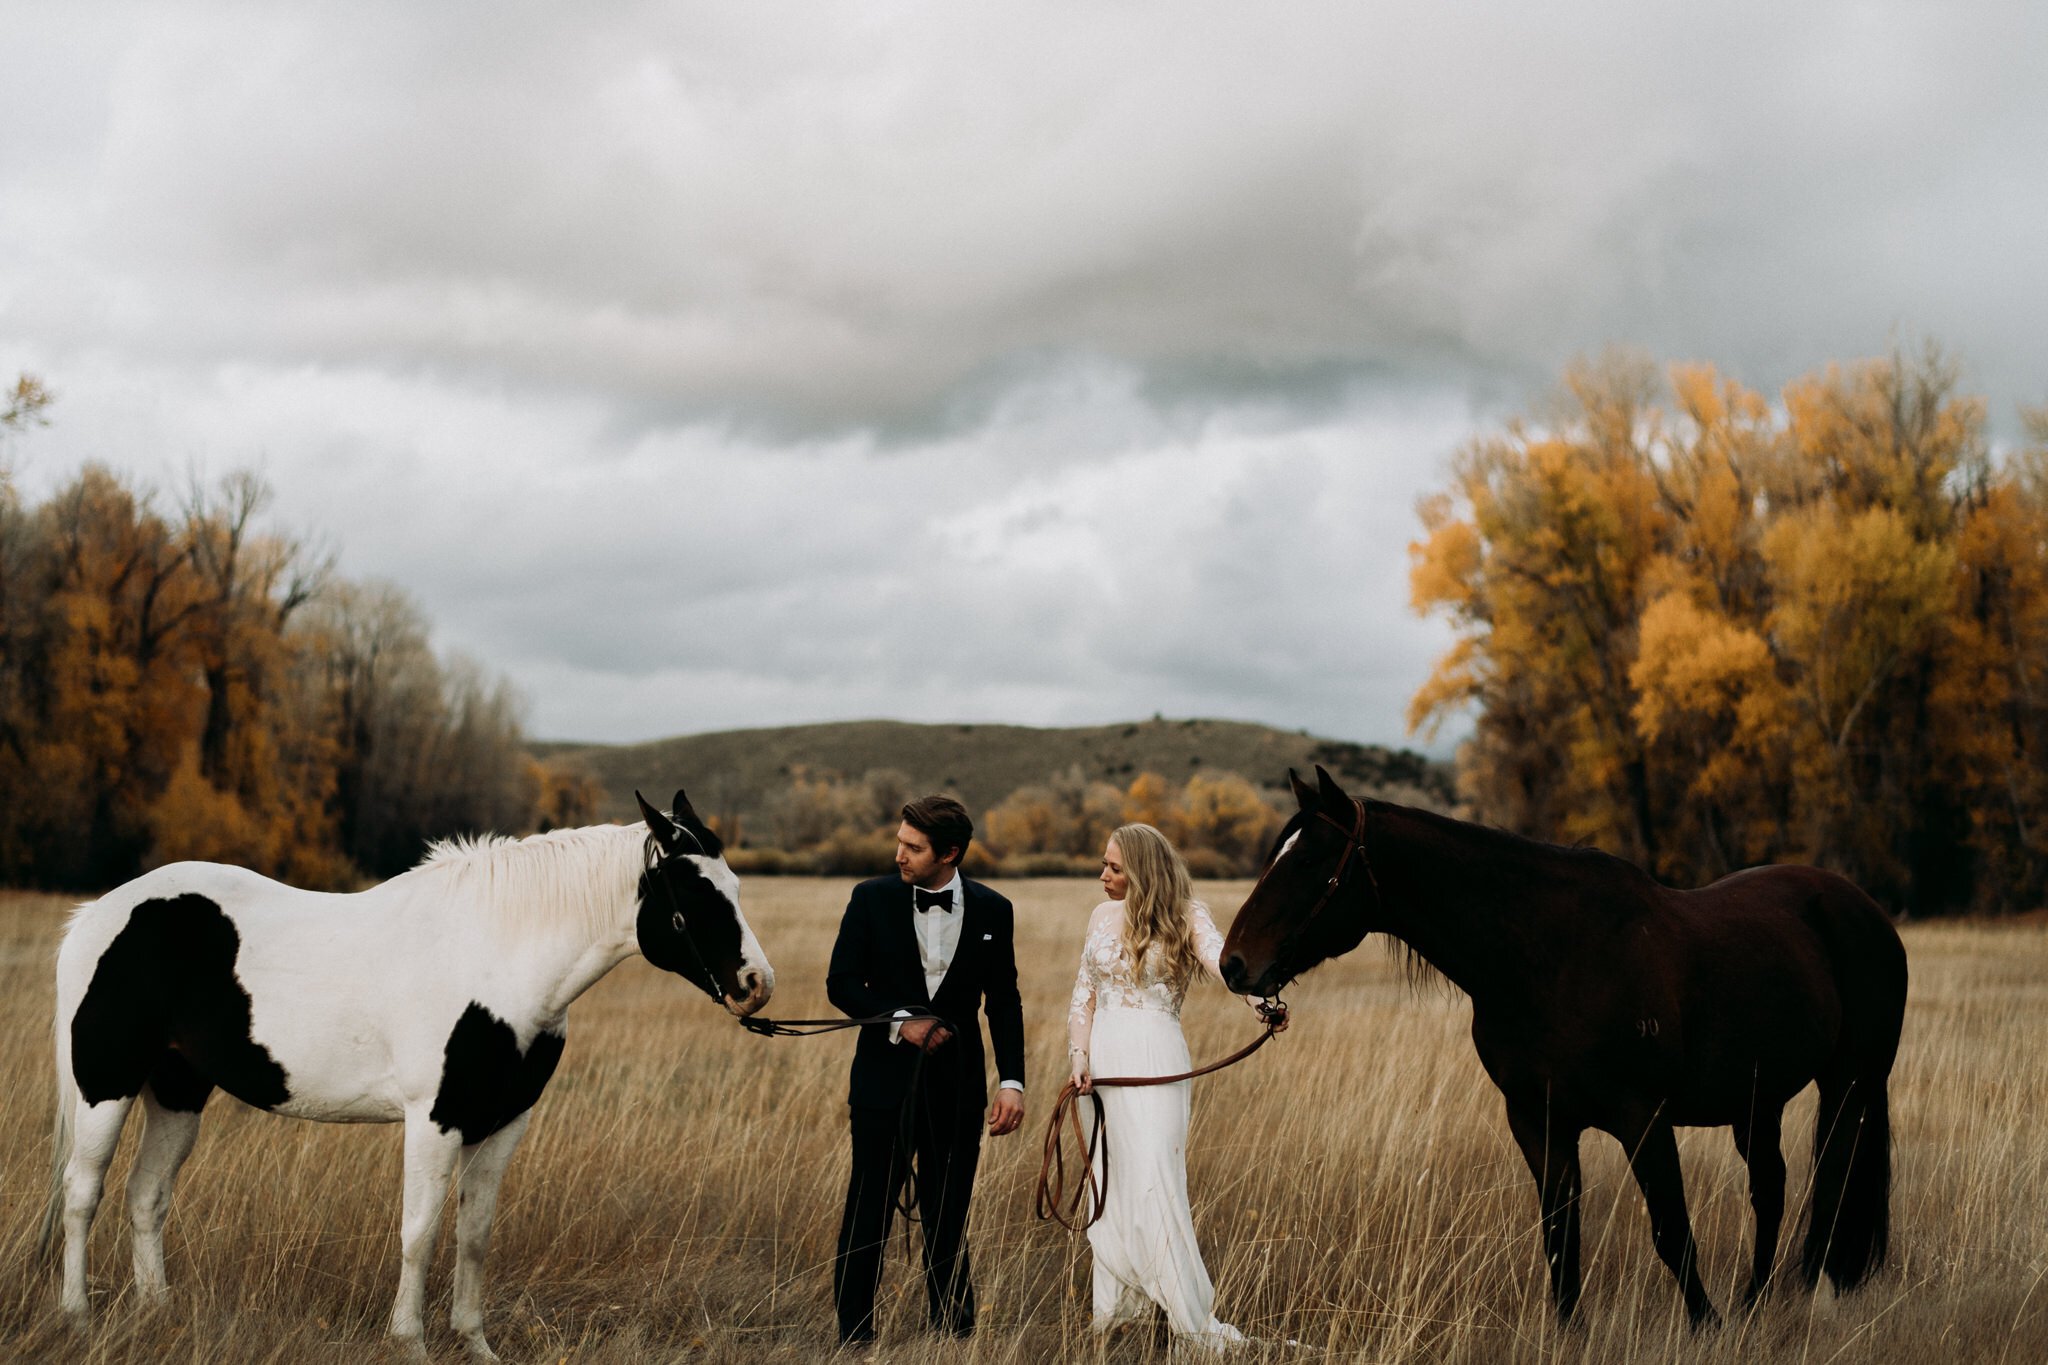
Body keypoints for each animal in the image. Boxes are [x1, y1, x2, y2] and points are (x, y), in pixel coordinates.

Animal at [41, 789, 770, 1358]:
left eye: (734, 886)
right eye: (696, 892)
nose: (755, 986)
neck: (497, 956)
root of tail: (95, 916)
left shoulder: (503, 1121)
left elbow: (474, 1234)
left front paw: (475, 1342)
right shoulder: (434, 1119)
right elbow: (419, 1231)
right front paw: (409, 1340)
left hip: (177, 1090)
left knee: (146, 1195)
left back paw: (157, 1312)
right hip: (105, 1087)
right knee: (83, 1193)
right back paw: (77, 1315)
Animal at [1212, 769, 1900, 1326]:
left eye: (1309, 861)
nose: (1234, 964)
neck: (1549, 956)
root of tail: (1867, 911)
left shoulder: (1643, 1118)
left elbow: (1671, 1228)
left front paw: (1706, 1325)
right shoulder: (1538, 1122)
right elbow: (1559, 1233)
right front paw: (1573, 1331)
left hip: (1850, 1086)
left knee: (1830, 1184)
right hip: (1758, 1102)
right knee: (1771, 1188)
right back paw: (1757, 1303)